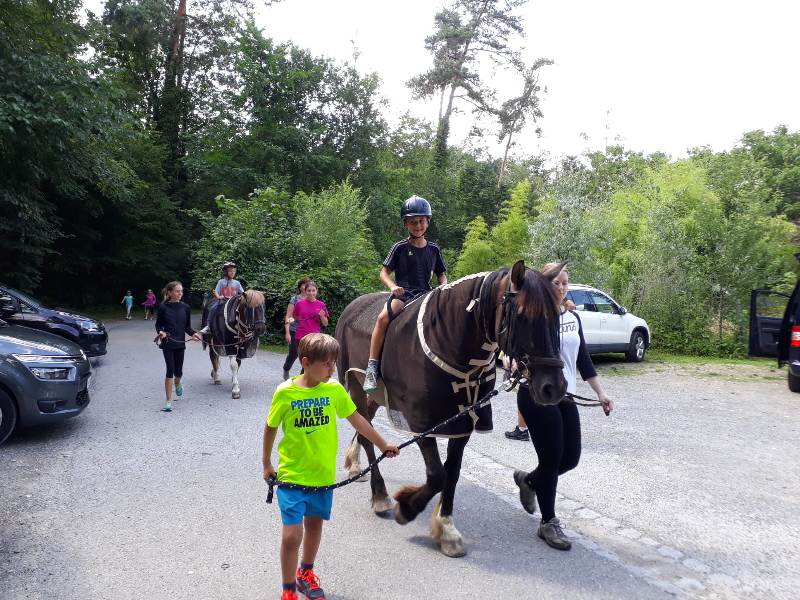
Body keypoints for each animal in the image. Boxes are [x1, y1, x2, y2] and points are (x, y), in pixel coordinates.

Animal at [335, 260, 567, 557]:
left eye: (557, 315)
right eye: (523, 315)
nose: (554, 387)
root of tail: (352, 308)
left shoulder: (461, 423)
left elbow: (452, 474)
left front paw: (446, 529)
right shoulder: (422, 424)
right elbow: (437, 475)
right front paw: (407, 508)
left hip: (375, 396)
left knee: (365, 427)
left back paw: (355, 465)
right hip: (353, 384)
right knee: (366, 434)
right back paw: (380, 495)